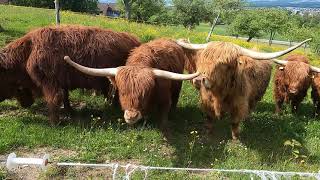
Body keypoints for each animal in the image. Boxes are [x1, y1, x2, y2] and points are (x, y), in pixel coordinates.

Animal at [0, 25, 141, 124]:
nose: (25, 105)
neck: (29, 51)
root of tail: (135, 40)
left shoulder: (50, 82)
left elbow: (54, 100)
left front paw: (54, 122)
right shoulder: (61, 81)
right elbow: (64, 97)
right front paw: (69, 111)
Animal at [62, 38, 199, 131]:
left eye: (145, 93)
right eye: (122, 92)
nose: (131, 116)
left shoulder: (165, 97)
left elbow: (164, 113)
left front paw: (164, 125)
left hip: (177, 87)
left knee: (175, 99)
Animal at [176, 38, 312, 140]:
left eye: (224, 64)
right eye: (203, 59)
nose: (199, 80)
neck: (219, 93)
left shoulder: (239, 104)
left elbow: (235, 122)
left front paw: (235, 139)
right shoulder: (206, 102)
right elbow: (209, 119)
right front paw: (208, 134)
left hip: (256, 96)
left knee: (251, 107)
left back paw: (248, 118)